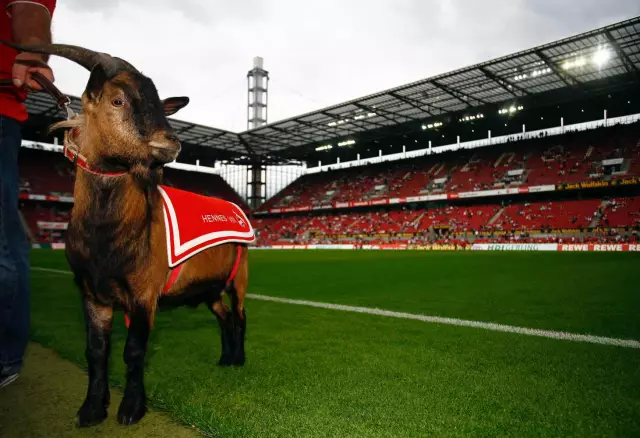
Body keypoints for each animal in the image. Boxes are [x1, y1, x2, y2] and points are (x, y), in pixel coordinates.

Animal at [1, 40, 253, 428]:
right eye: (117, 100)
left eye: (159, 103)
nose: (171, 143)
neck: (107, 238)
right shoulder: (92, 293)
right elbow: (96, 351)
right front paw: (92, 409)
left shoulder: (143, 293)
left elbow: (133, 351)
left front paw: (131, 409)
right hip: (209, 287)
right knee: (223, 317)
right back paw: (225, 359)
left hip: (238, 277)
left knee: (239, 316)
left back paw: (238, 360)